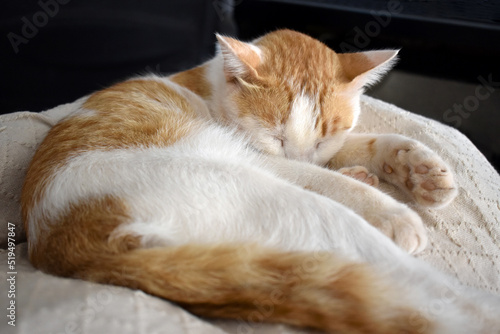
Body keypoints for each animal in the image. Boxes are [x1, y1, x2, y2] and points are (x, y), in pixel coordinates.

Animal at [21, 30, 498, 332]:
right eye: (276, 137)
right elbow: (318, 176)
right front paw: (387, 206)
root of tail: (66, 245)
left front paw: (418, 168)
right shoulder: (264, 159)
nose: (301, 153)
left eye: (322, 136)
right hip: (282, 206)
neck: (210, 89)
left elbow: (356, 146)